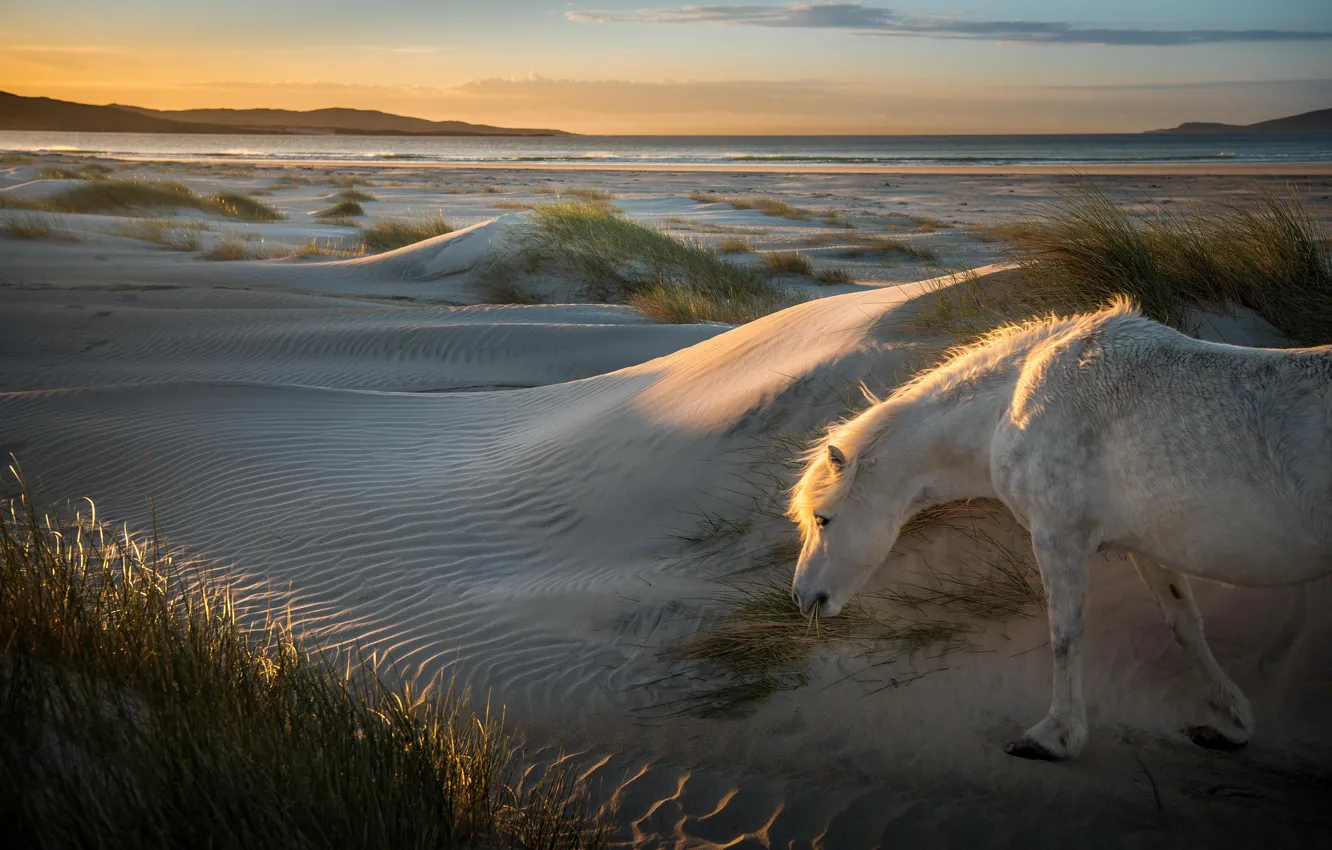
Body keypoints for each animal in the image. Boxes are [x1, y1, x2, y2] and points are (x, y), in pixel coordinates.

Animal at [788, 297, 1332, 760]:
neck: (1008, 411)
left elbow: (1065, 635)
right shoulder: (1147, 549)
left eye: (823, 519)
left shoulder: (1058, 537)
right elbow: (1185, 626)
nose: (803, 598)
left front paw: (1054, 737)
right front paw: (1230, 722)